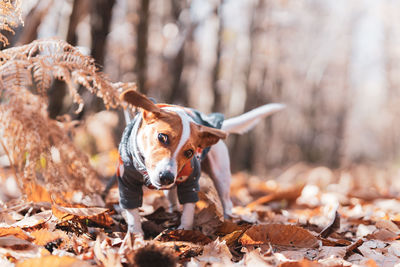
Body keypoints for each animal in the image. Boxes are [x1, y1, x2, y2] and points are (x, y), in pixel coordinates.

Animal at [115, 89, 284, 234]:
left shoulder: (191, 181)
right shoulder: (126, 183)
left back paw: (227, 221)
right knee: (172, 200)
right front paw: (135, 235)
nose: (166, 177)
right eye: (162, 137)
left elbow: (189, 210)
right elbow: (132, 212)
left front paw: (185, 230)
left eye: (190, 152)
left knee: (227, 202)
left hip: (221, 176)